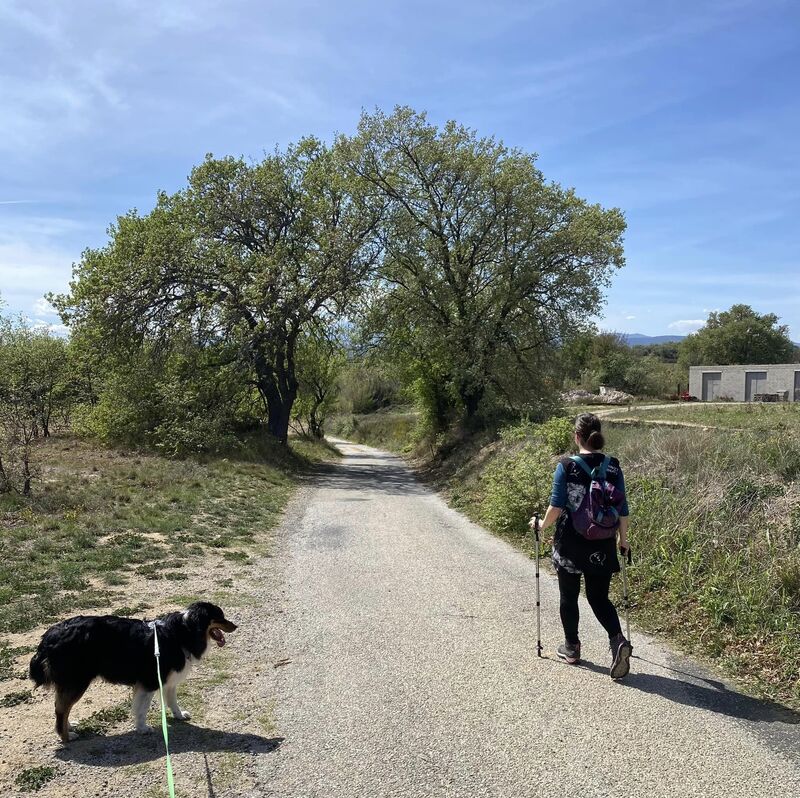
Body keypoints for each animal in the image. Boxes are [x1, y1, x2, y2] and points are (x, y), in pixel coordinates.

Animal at [31, 608, 238, 744]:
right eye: (219, 617)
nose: (236, 626)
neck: (183, 632)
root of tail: (50, 635)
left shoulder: (168, 682)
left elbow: (172, 701)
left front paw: (179, 716)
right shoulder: (150, 682)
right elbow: (142, 709)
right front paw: (142, 728)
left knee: (61, 707)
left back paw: (69, 727)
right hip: (77, 681)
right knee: (61, 708)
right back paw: (66, 736)